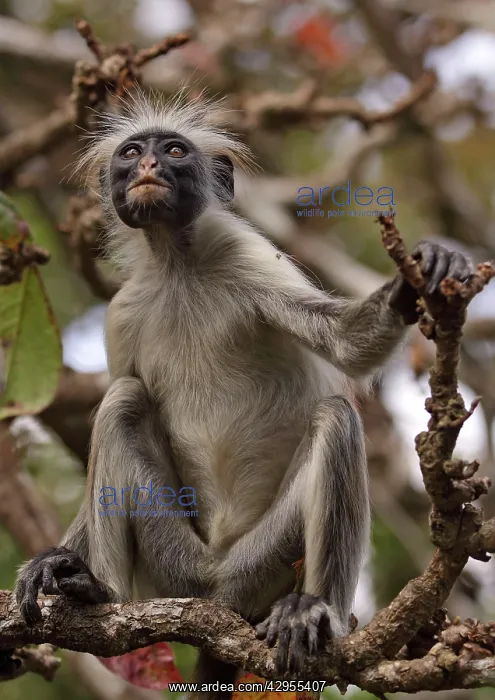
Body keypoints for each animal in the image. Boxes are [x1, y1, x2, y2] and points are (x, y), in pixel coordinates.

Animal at [14, 92, 474, 696]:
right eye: (131, 153)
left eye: (175, 151)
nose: (148, 166)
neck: (178, 264)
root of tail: (218, 591)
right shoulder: (123, 312)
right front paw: (60, 560)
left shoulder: (247, 252)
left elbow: (348, 347)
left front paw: (417, 277)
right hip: (173, 564)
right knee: (123, 399)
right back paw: (98, 589)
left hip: (262, 562)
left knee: (336, 418)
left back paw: (314, 609)